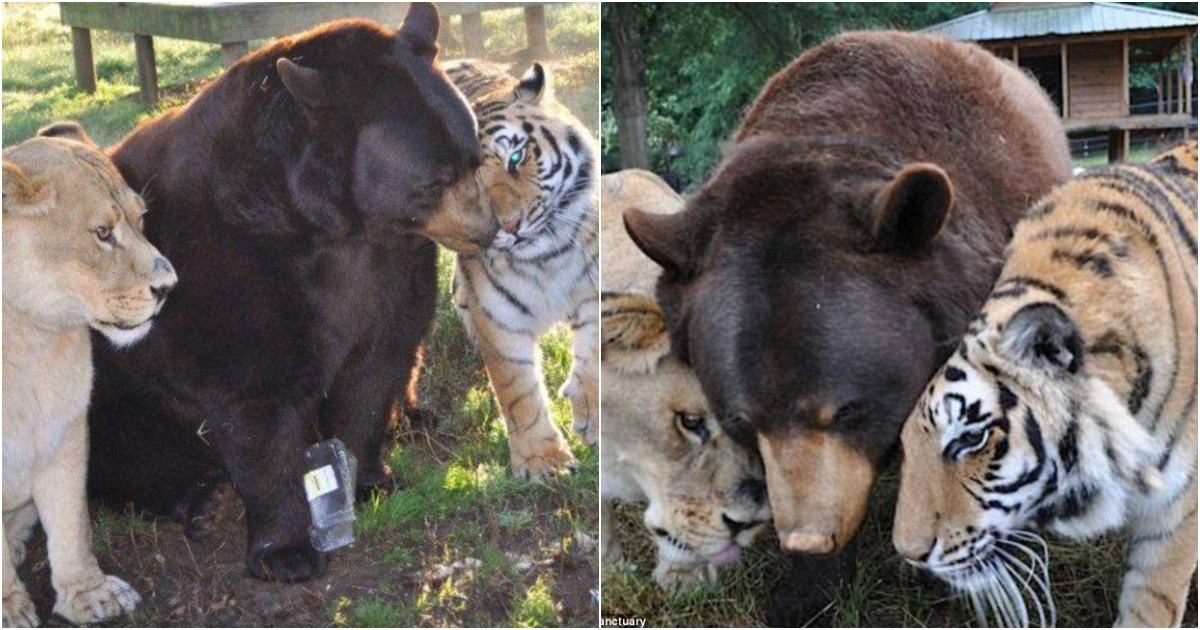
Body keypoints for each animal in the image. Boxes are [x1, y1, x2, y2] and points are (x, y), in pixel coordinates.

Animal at [446, 61, 600, 480]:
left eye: (515, 158)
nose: (510, 226)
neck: (545, 259)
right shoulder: (499, 317)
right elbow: (518, 390)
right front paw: (543, 462)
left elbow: (594, 352)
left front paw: (590, 415)